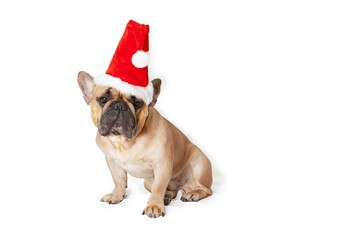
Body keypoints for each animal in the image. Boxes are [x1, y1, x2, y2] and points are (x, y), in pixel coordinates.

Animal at [77, 71, 212, 218]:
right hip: (148, 182)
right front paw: (117, 195)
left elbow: (158, 187)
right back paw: (167, 196)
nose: (120, 105)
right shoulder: (112, 162)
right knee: (172, 190)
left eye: (137, 102)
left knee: (206, 190)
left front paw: (154, 206)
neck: (124, 141)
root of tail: (183, 186)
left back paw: (192, 194)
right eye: (103, 99)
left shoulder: (162, 165)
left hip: (200, 165)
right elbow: (119, 180)